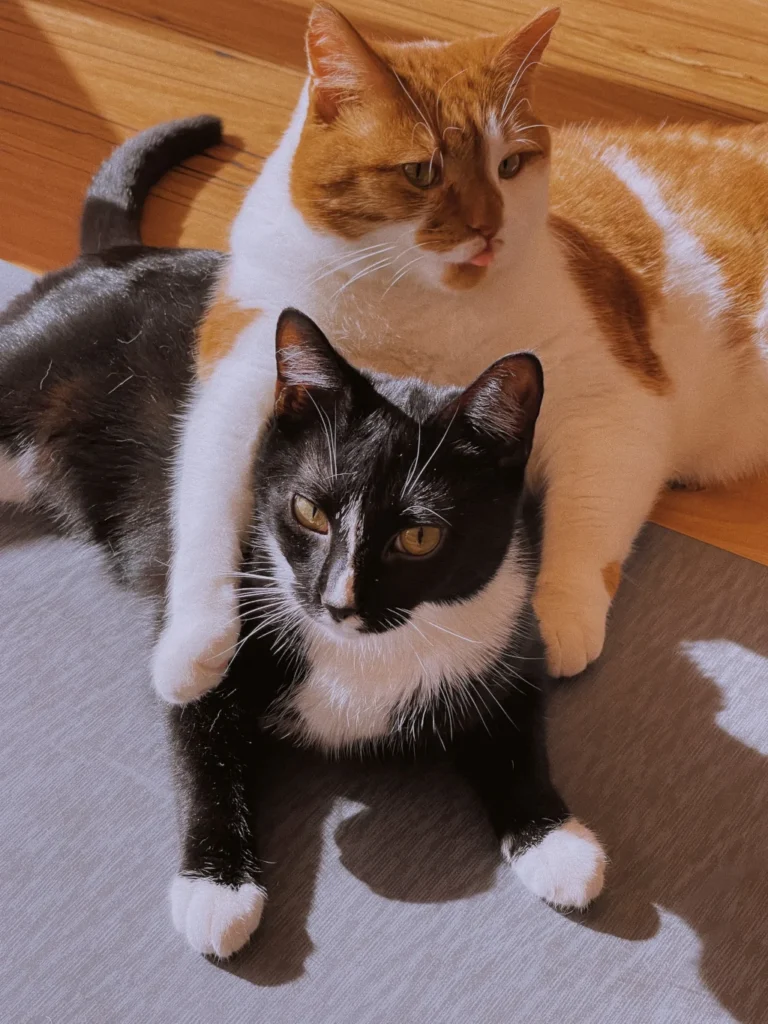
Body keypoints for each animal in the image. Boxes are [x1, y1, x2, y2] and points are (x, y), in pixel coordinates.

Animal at [153, 4, 768, 704]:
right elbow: (205, 502)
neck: (416, 306)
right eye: (423, 171)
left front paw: (561, 617)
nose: (489, 228)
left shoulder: (613, 402)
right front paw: (193, 643)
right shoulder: (241, 373)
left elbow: (589, 517)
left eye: (511, 166)